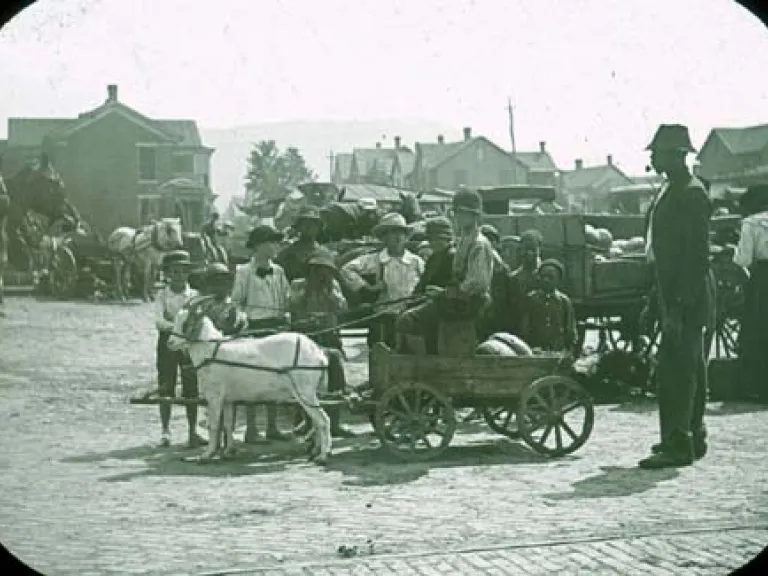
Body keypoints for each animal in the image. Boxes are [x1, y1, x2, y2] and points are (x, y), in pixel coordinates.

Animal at [168, 300, 330, 466]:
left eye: (187, 322)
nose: (170, 342)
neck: (211, 349)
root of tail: (318, 354)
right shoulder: (227, 399)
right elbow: (227, 424)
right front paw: (228, 451)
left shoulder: (214, 396)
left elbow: (213, 424)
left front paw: (207, 455)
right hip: (311, 392)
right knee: (316, 420)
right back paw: (315, 451)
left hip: (304, 391)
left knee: (323, 420)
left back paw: (322, 456)